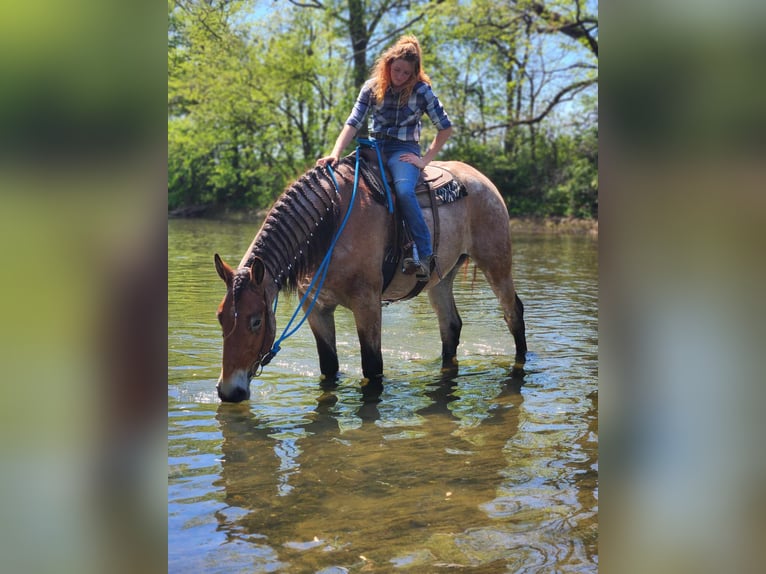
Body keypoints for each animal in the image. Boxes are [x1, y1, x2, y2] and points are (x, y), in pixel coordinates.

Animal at [216, 153, 528, 404]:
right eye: (220, 318)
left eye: (256, 321)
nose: (229, 392)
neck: (329, 223)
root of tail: (480, 179)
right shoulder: (316, 309)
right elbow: (329, 367)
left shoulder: (366, 303)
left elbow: (373, 367)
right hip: (440, 280)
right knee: (450, 326)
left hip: (496, 263)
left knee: (513, 313)